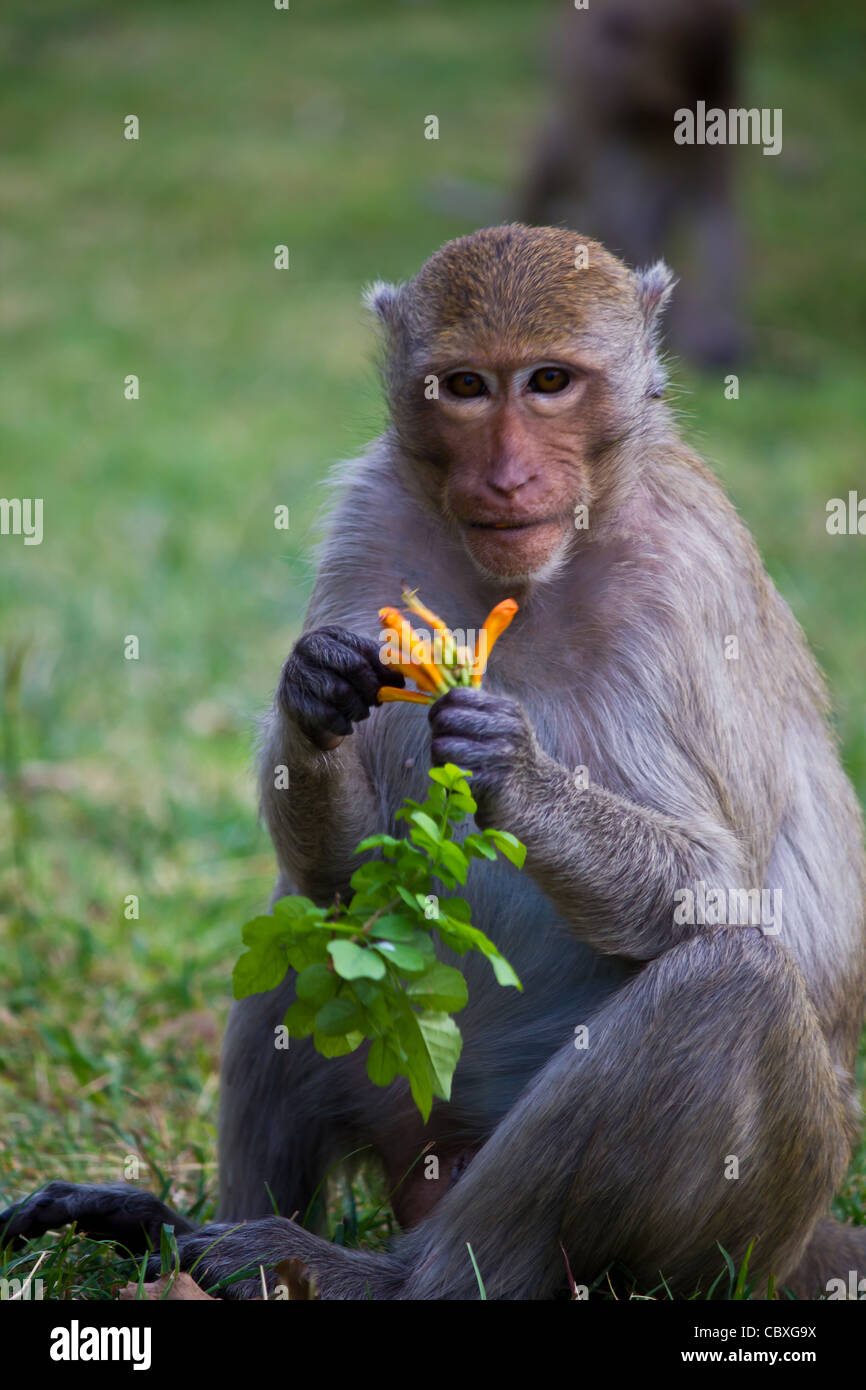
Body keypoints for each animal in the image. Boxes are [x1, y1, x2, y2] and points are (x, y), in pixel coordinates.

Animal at [3, 224, 865, 1300]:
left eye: (548, 381)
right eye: (463, 386)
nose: (504, 476)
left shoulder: (688, 581)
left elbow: (727, 887)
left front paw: (516, 775)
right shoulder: (370, 517)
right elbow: (345, 877)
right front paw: (313, 693)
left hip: (736, 1230)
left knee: (734, 981)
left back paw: (389, 1279)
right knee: (307, 917)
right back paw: (188, 1232)